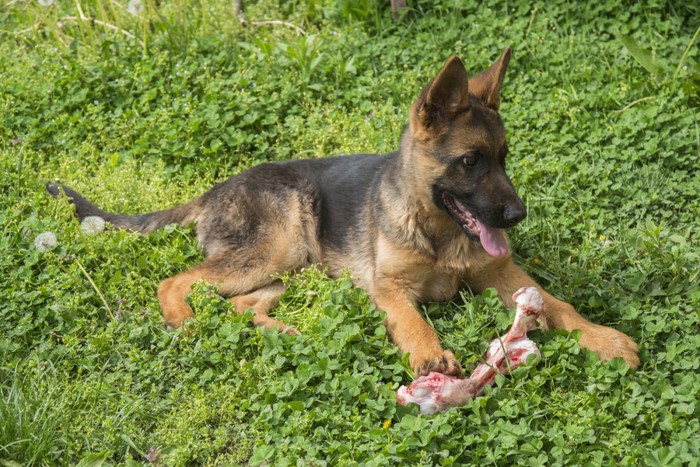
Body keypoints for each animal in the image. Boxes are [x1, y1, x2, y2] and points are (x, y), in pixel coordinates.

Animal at [47, 49, 640, 374]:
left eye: (505, 158)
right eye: (471, 161)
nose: (516, 217)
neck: (437, 230)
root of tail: (212, 192)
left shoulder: (504, 273)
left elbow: (559, 305)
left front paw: (604, 338)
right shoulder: (388, 288)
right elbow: (411, 319)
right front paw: (430, 356)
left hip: (288, 267)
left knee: (242, 305)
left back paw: (288, 333)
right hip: (277, 246)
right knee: (176, 282)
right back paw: (185, 323)